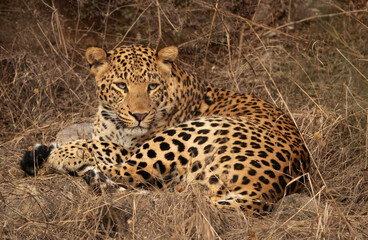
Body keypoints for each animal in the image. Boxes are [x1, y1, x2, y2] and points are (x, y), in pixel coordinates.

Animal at [19, 44, 308, 213]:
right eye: (121, 86)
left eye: (152, 86)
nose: (139, 115)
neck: (113, 120)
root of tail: (265, 193)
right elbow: (98, 139)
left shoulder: (133, 145)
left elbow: (102, 145)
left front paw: (63, 152)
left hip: (183, 136)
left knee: (125, 171)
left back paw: (57, 157)